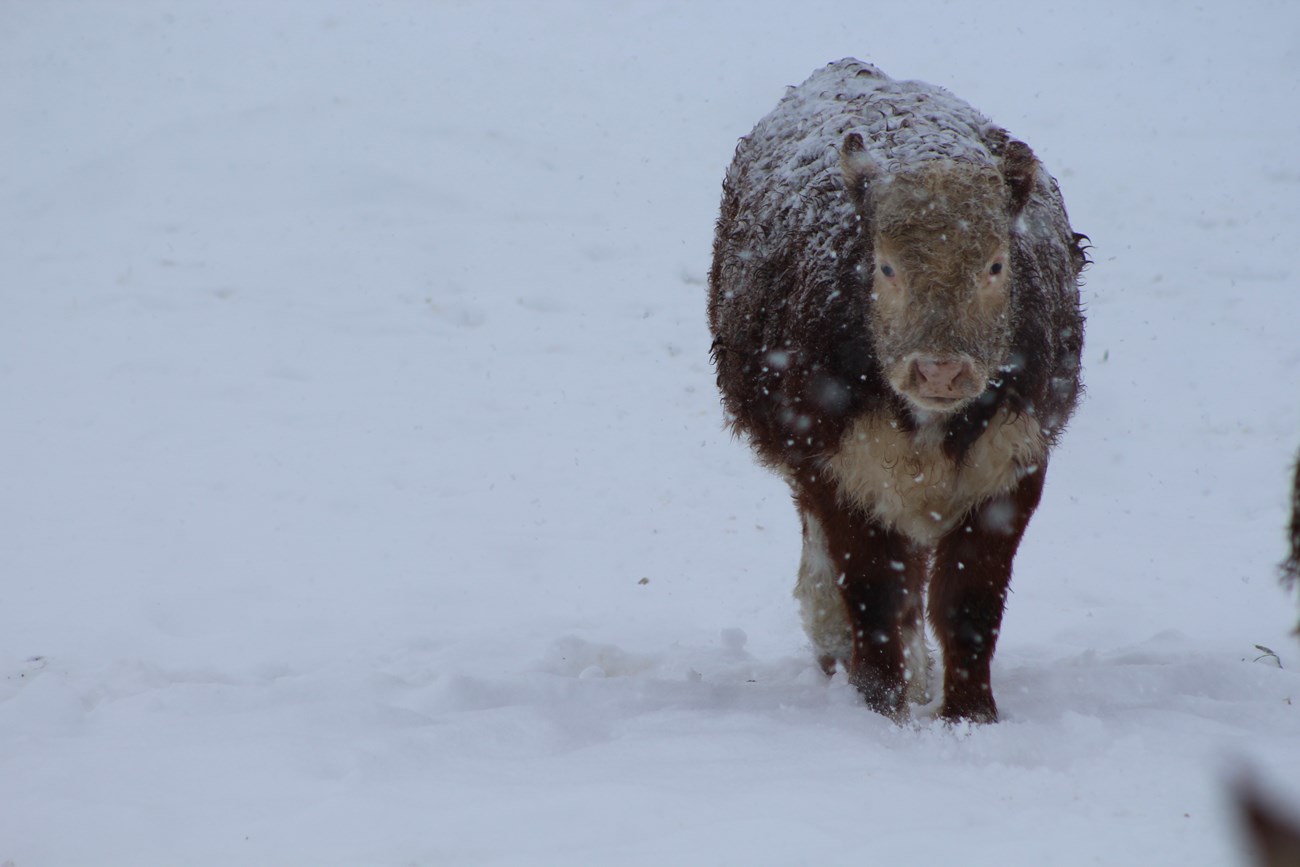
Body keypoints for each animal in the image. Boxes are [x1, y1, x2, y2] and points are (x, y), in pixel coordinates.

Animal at [712, 61, 1086, 722]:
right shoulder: (839, 467)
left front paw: (969, 713)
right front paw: (880, 705)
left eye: (995, 265)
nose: (938, 370)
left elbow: (969, 601)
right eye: (886, 267)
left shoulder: (1013, 465)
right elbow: (875, 592)